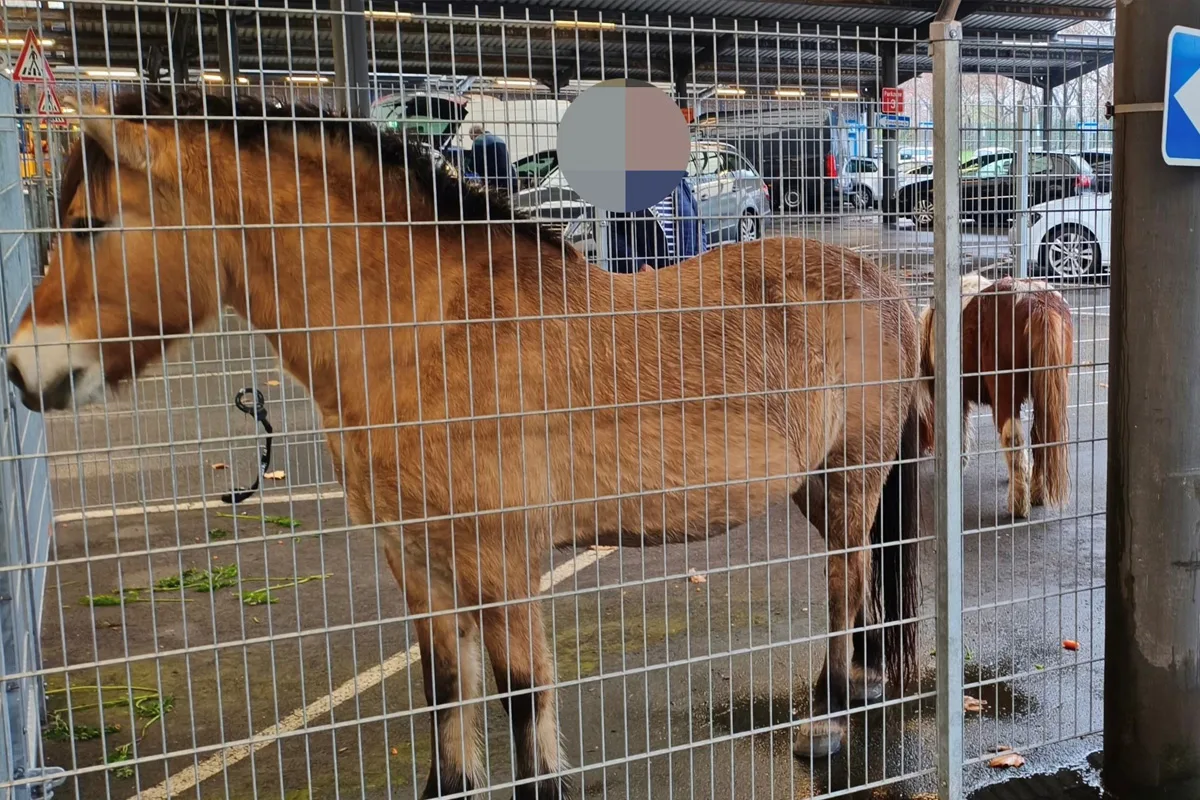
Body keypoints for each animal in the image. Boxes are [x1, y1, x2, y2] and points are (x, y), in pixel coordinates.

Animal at [6, 90, 923, 797]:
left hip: (851, 482)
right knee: (860, 588)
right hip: (814, 488)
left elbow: (523, 701)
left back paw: (826, 723)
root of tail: (880, 283)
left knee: (846, 587)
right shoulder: (417, 562)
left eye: (89, 225)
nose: (22, 368)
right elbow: (446, 688)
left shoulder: (501, 563)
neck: (429, 333)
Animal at [916, 272, 1073, 518]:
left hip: (1005, 391)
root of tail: (1038, 304)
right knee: (1040, 434)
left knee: (1014, 438)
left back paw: (1018, 504)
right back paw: (1035, 493)